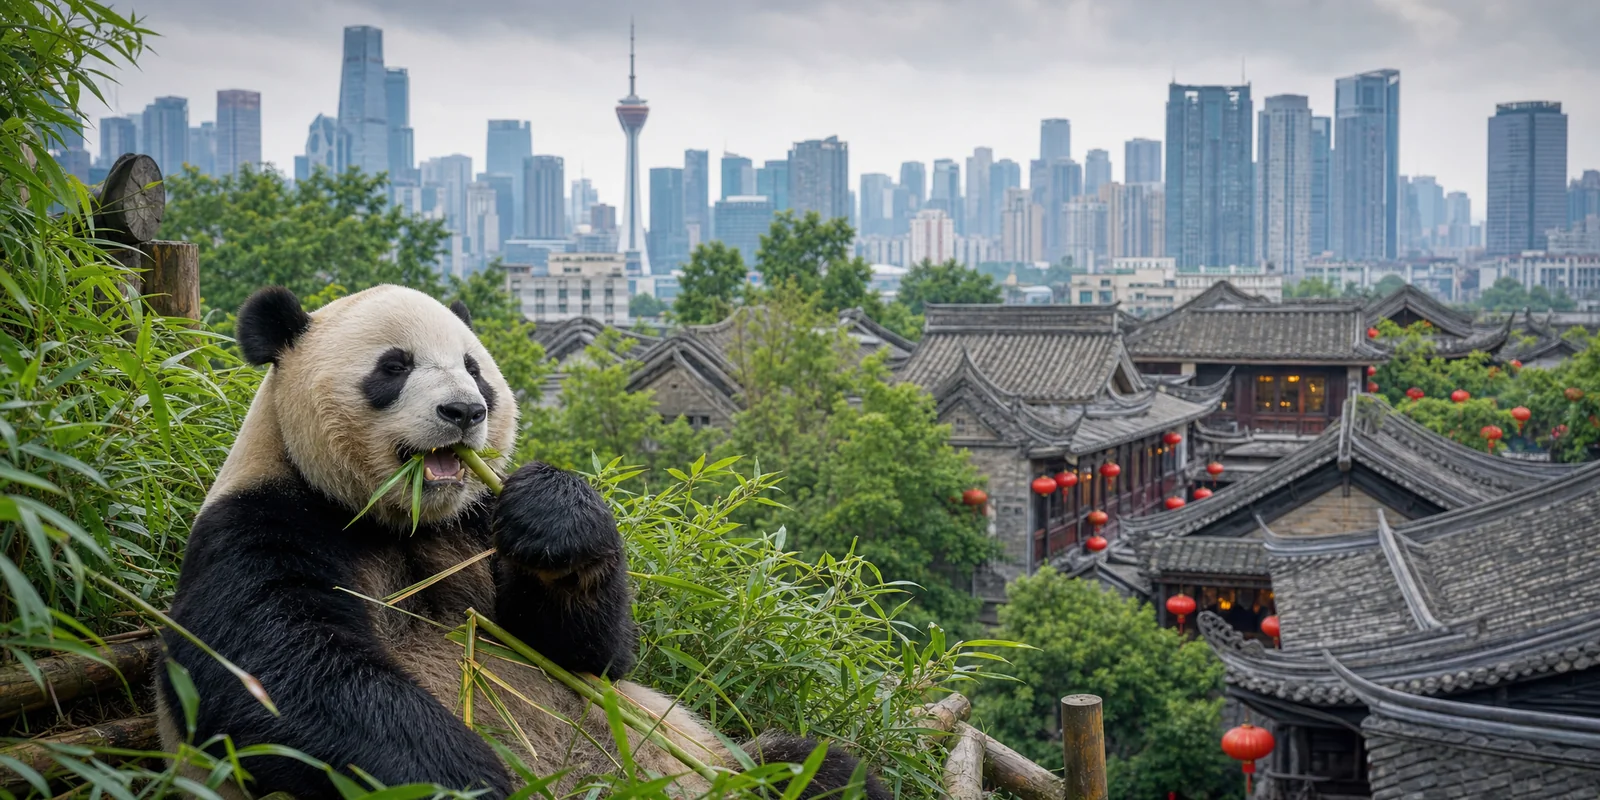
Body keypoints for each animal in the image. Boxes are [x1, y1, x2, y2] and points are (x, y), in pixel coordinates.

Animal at [156, 284, 889, 800]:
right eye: (394, 366)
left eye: (474, 367)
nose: (464, 411)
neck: (403, 519)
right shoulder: (266, 522)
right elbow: (274, 676)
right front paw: (471, 778)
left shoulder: (475, 524)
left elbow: (587, 651)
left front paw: (556, 516)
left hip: (716, 768)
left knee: (815, 769)